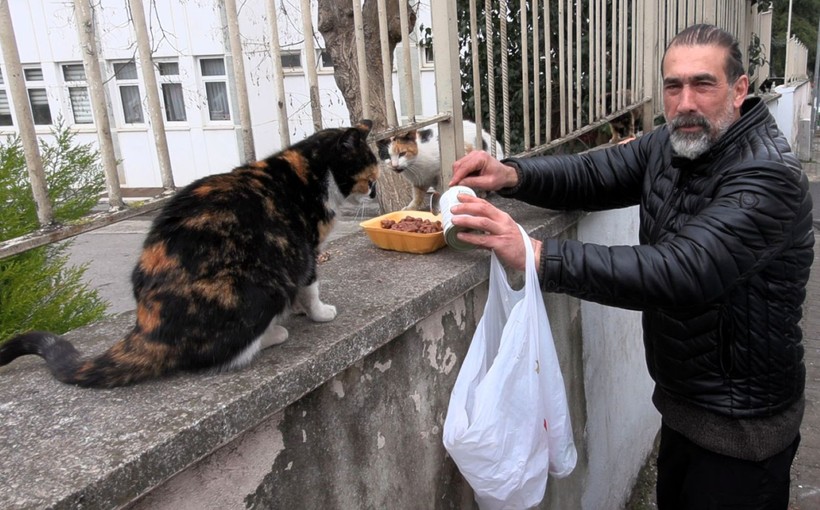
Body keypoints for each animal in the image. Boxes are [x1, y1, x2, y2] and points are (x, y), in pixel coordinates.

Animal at [0, 121, 378, 388]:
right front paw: (319, 312)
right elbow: (310, 285)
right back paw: (272, 334)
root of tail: (148, 326)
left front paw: (300, 309)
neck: (308, 171)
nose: (375, 192)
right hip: (258, 285)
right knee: (219, 356)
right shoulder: (306, 248)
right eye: (370, 177)